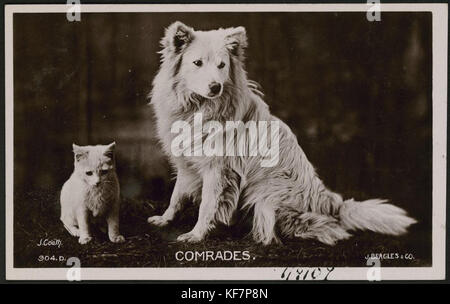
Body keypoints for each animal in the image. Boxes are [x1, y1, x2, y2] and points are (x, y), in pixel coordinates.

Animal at [147, 21, 414, 245]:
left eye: (221, 65)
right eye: (197, 63)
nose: (215, 87)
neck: (198, 108)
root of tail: (330, 203)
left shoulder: (218, 169)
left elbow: (206, 204)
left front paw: (196, 234)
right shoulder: (187, 163)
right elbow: (177, 195)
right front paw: (165, 218)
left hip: (267, 193)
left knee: (319, 226)